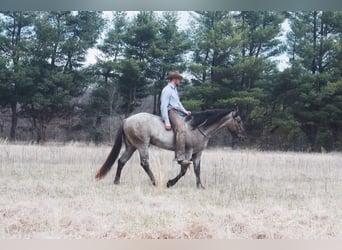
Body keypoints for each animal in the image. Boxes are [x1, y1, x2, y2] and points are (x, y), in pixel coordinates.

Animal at [95, 108, 247, 188]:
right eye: (239, 121)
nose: (243, 136)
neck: (198, 128)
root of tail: (127, 120)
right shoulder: (188, 152)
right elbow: (184, 169)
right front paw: (170, 183)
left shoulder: (198, 153)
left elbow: (197, 169)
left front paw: (200, 186)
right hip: (142, 145)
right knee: (144, 163)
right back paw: (155, 182)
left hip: (131, 146)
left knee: (121, 161)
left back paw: (117, 182)